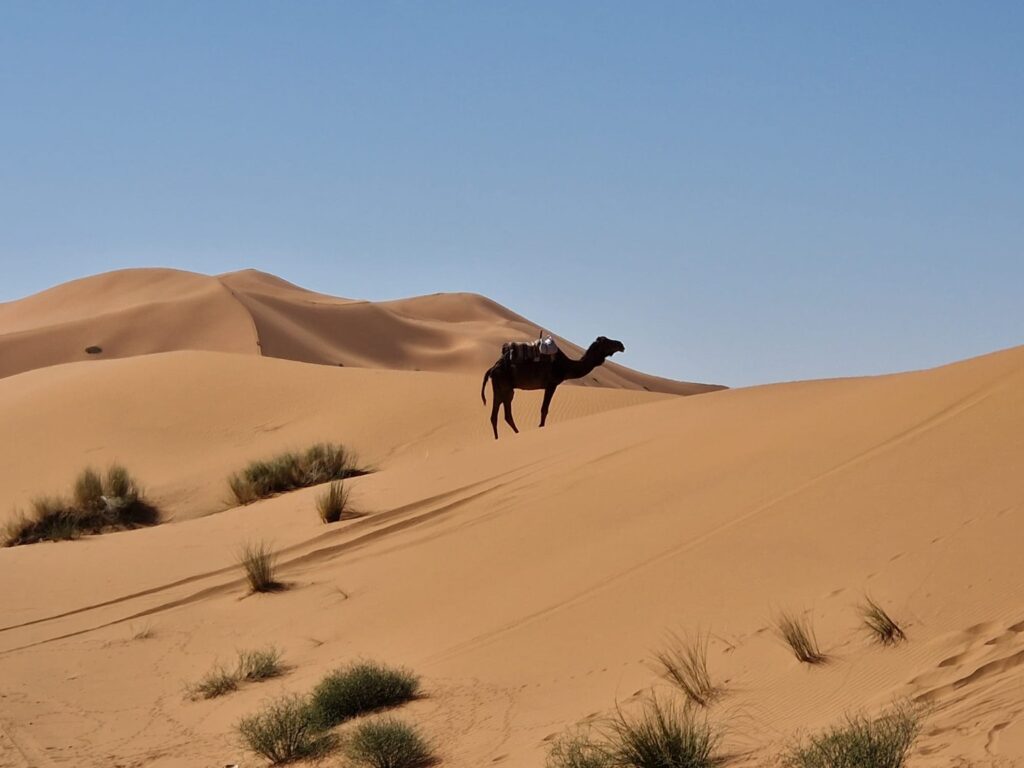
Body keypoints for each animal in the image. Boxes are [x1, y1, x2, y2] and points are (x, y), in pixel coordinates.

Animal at [480, 336, 626, 439]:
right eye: (606, 342)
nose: (621, 345)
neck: (566, 366)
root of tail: (492, 368)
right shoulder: (551, 384)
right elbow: (544, 409)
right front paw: (540, 426)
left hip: (504, 388)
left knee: (500, 414)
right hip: (503, 386)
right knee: (500, 413)